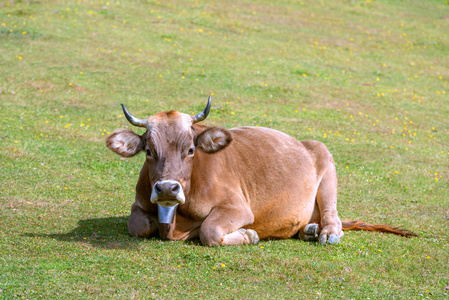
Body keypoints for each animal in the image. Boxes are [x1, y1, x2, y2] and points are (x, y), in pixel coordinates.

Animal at [106, 97, 416, 245]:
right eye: (149, 150)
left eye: (191, 150)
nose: (168, 188)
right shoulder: (139, 204)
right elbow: (138, 226)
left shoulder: (238, 208)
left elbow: (209, 230)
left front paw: (248, 235)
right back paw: (309, 230)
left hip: (327, 165)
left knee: (333, 216)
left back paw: (326, 232)